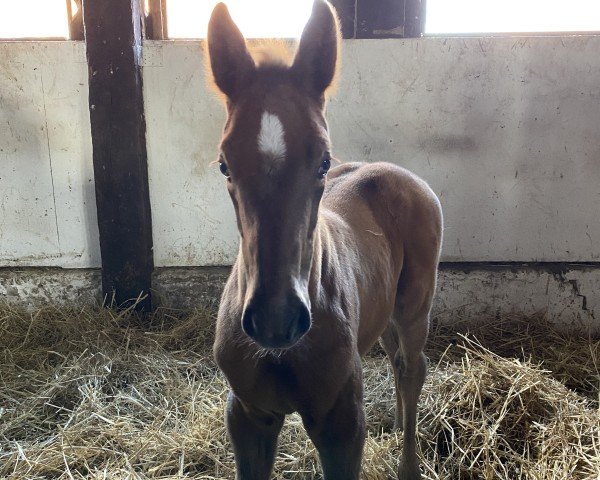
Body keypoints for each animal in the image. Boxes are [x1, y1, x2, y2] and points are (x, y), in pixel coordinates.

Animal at [209, 1, 442, 478]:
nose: (276, 319)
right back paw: (394, 424)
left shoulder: (341, 424)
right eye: (225, 164)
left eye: (323, 161)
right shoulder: (248, 415)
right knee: (395, 357)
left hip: (414, 306)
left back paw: (408, 461)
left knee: (412, 367)